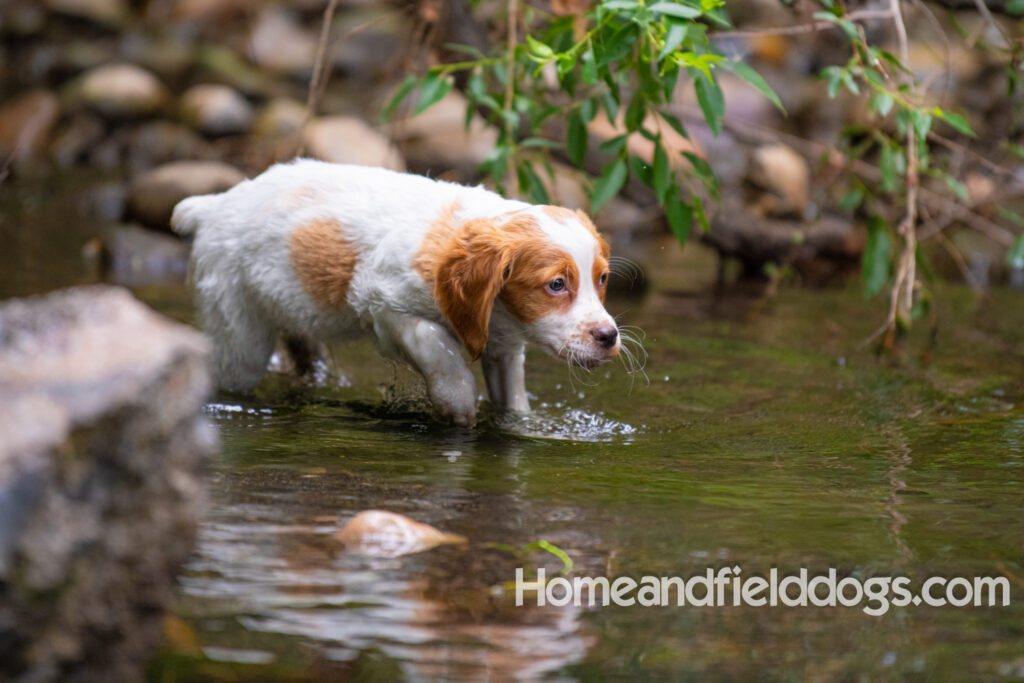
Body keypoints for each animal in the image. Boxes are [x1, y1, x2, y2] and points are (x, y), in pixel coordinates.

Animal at [173, 160, 618, 428]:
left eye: (602, 279)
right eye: (556, 284)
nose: (609, 336)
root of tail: (213, 206)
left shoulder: (503, 346)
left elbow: (513, 399)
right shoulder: (381, 302)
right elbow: (435, 342)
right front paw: (457, 403)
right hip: (239, 335)